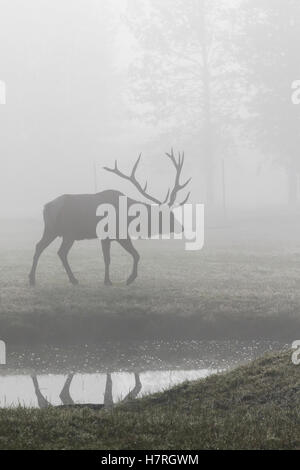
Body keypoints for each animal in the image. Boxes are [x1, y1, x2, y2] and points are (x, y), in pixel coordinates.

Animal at [29, 149, 191, 286]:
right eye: (167, 215)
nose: (182, 227)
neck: (129, 217)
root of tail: (45, 207)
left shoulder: (109, 236)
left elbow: (112, 258)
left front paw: (109, 280)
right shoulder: (116, 234)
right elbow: (129, 256)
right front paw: (126, 279)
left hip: (53, 230)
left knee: (41, 247)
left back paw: (35, 279)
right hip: (67, 233)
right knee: (58, 251)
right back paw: (69, 279)